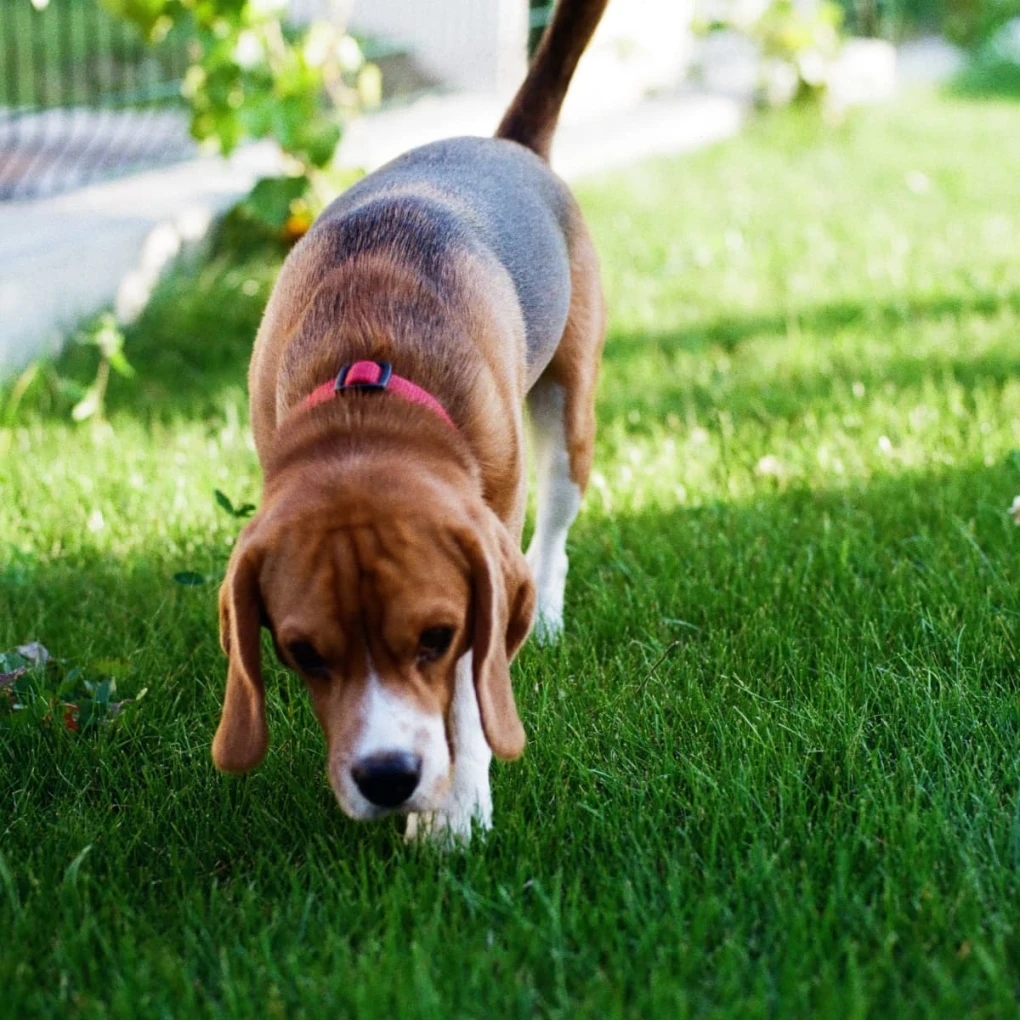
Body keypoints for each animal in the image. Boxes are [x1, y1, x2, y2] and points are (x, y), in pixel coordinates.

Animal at [209, 0, 603, 844]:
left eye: (435, 638)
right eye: (303, 654)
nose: (387, 779)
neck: (369, 388)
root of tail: (505, 142)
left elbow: (471, 695)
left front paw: (454, 814)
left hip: (568, 417)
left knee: (554, 529)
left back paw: (550, 611)